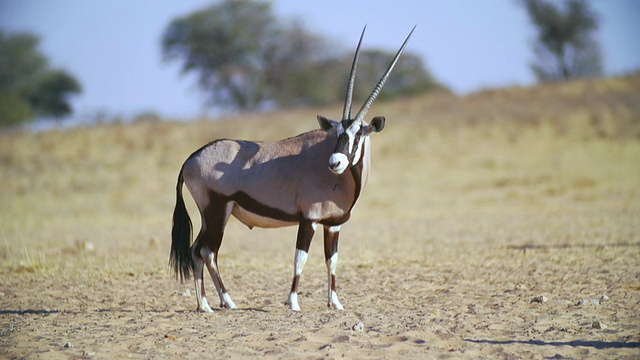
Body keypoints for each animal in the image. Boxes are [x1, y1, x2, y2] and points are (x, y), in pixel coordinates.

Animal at [171, 26, 416, 312]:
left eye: (357, 135)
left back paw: (208, 304)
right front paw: (293, 303)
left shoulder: (333, 224)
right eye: (338, 133)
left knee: (196, 250)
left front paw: (335, 302)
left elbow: (332, 259)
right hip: (217, 212)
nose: (335, 162)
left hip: (212, 215)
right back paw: (223, 302)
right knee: (207, 251)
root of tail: (190, 158)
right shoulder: (309, 219)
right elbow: (301, 257)